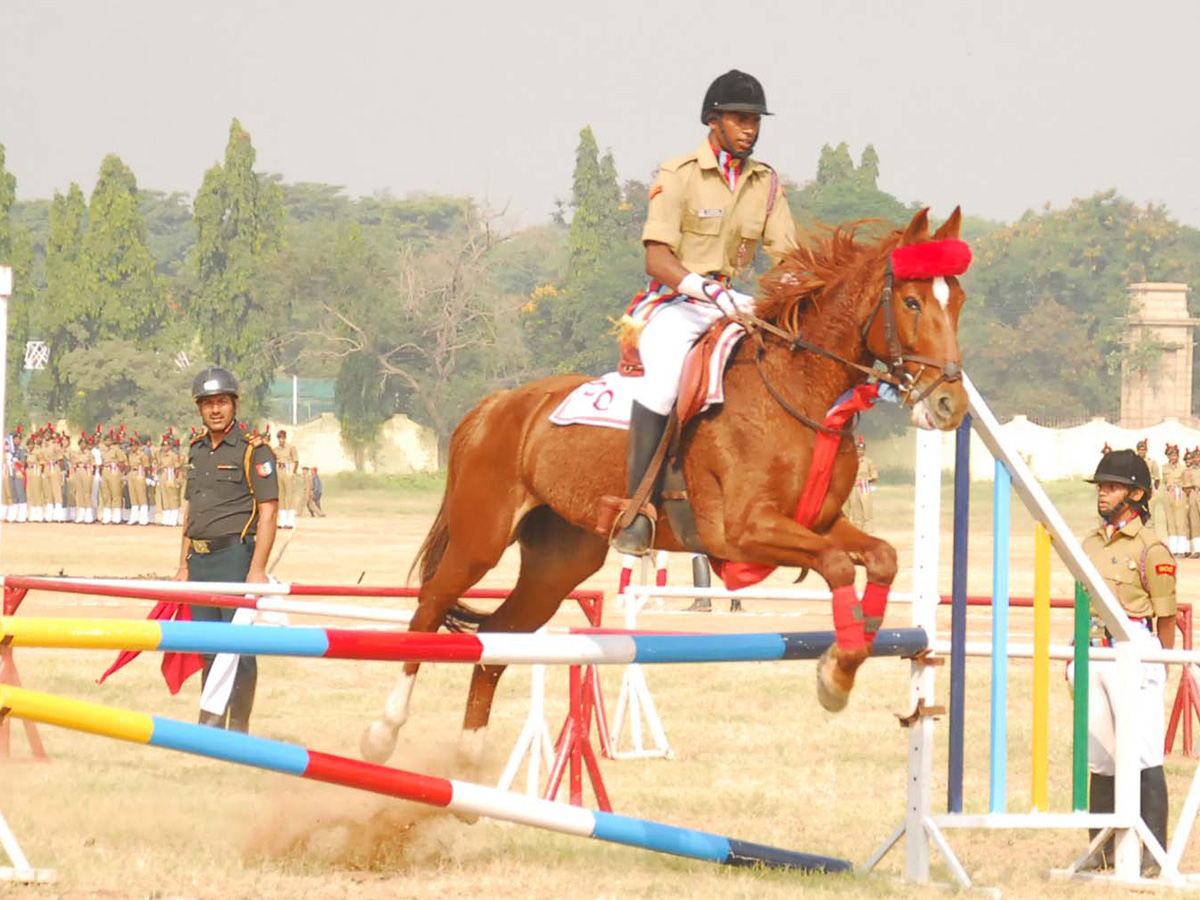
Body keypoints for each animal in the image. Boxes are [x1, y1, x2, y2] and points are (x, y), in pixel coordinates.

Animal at [360, 207, 969, 777]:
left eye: (957, 299)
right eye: (912, 302)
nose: (950, 405)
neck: (798, 393)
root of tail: (493, 406)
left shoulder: (816, 523)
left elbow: (881, 557)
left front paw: (849, 656)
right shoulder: (744, 532)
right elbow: (840, 565)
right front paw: (836, 672)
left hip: (559, 563)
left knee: (496, 642)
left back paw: (469, 758)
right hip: (480, 540)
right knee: (427, 613)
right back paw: (383, 733)